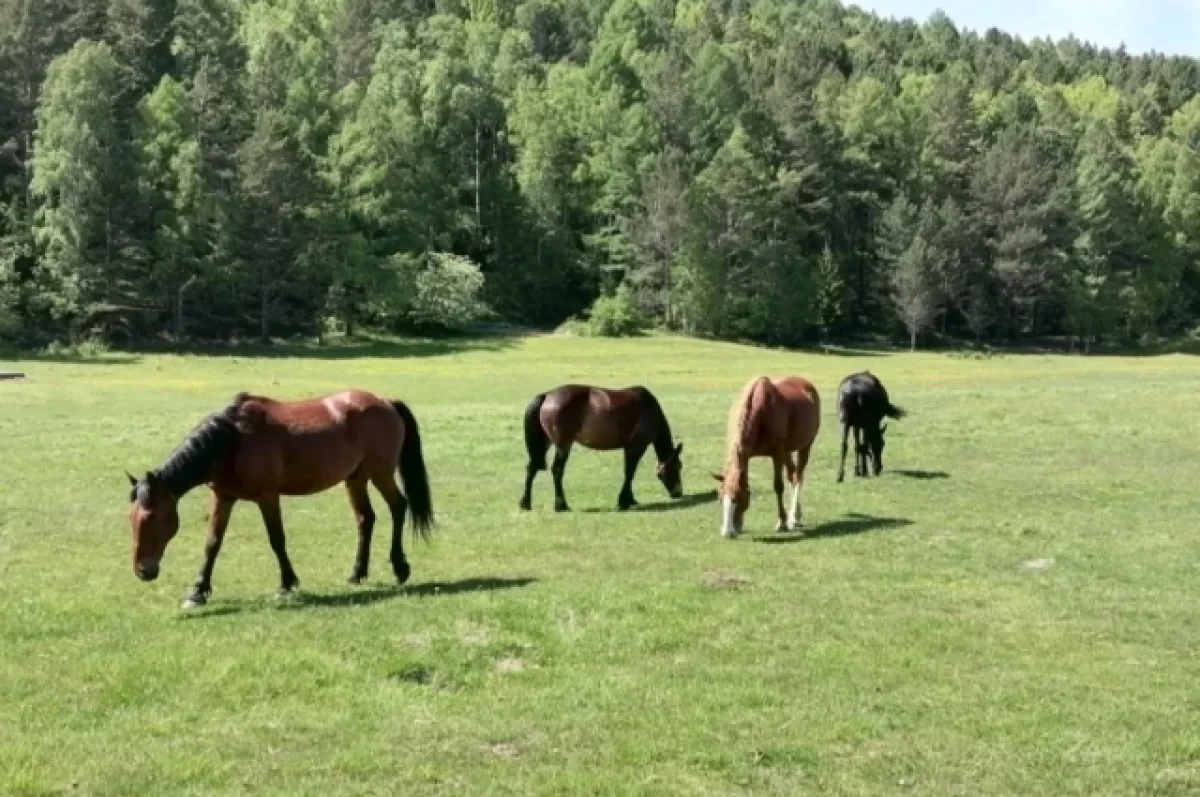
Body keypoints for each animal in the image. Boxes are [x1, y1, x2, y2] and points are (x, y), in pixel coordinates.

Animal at [125, 390, 433, 609]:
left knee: (398, 507)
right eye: (130, 519)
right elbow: (212, 543)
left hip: (381, 473)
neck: (233, 440)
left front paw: (287, 584)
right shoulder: (223, 497)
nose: (142, 571)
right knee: (365, 519)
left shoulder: (268, 497)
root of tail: (386, 401)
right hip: (356, 479)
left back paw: (400, 567)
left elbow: (277, 539)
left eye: (152, 517)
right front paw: (197, 591)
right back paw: (357, 573)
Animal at [519, 384, 684, 512]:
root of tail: (547, 395)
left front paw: (630, 499)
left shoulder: (629, 448)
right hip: (563, 445)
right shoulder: (636, 447)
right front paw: (624, 501)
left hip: (545, 443)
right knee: (557, 470)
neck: (649, 409)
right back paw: (561, 505)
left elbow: (628, 472)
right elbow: (630, 472)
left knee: (531, 468)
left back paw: (525, 503)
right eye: (677, 467)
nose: (678, 493)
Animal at [711, 376, 820, 539]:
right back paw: (797, 515)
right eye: (719, 497)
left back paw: (793, 517)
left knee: (798, 477)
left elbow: (778, 486)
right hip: (787, 451)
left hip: (805, 446)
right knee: (792, 474)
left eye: (738, 498)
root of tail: (805, 383)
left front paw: (781, 522)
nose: (727, 533)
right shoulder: (754, 455)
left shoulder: (776, 454)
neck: (760, 410)